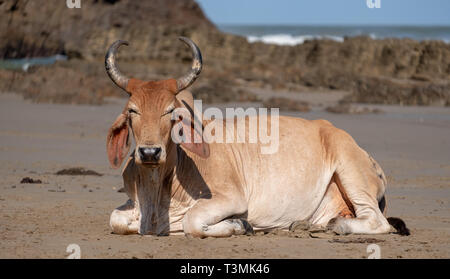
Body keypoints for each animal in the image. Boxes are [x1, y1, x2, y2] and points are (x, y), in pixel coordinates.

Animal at [104, 36, 408, 238]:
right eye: (132, 110)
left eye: (171, 111)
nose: (149, 153)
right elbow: (115, 219)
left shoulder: (231, 198)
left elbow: (193, 222)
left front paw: (241, 225)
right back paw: (305, 225)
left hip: (351, 171)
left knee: (378, 222)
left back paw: (337, 226)